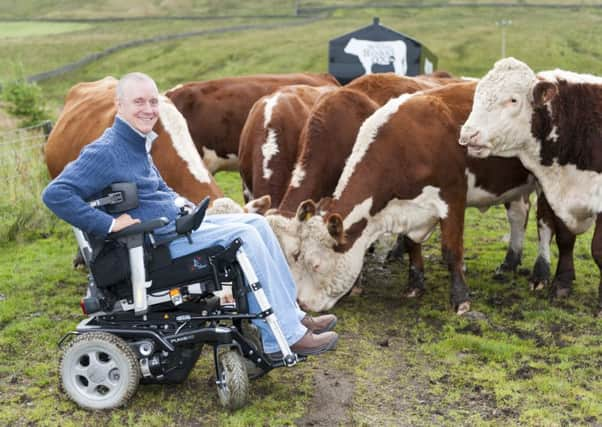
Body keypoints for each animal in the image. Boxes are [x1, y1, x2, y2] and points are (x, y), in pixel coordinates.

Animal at [458, 58, 600, 316]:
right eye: (477, 95)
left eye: (513, 99)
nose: (468, 134)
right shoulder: (556, 196)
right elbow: (564, 239)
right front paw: (562, 283)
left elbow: (597, 249)